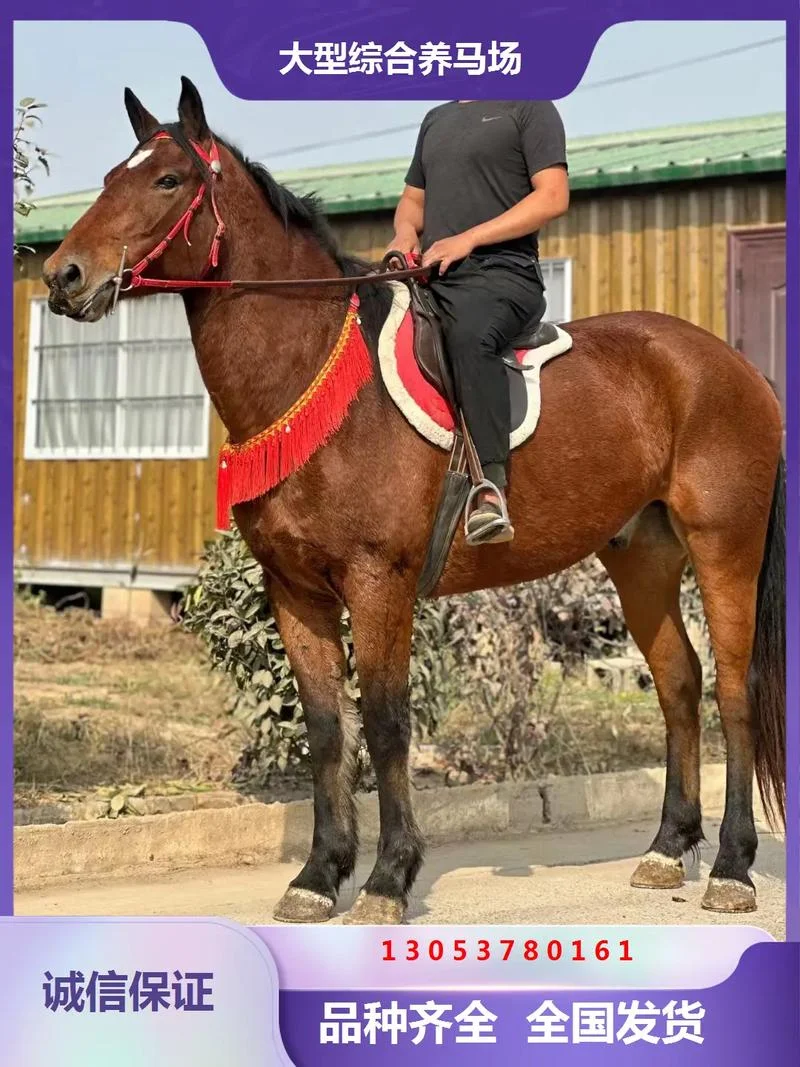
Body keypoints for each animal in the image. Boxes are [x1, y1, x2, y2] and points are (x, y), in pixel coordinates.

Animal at [41, 78, 785, 924]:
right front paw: (318, 874)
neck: (315, 372)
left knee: (735, 689)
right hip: (642, 554)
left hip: (724, 543)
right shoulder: (295, 591)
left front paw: (388, 877)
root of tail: (732, 365)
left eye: (168, 180)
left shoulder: (379, 580)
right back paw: (666, 848)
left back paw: (730, 865)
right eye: (111, 176)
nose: (63, 276)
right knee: (678, 681)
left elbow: (387, 722)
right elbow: (327, 727)